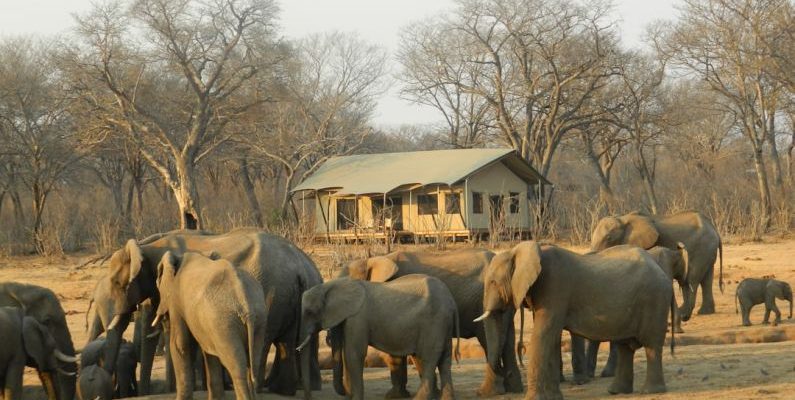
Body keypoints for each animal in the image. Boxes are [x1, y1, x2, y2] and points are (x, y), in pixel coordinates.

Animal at [102, 227, 324, 396]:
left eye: (117, 283)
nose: (141, 392)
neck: (147, 246)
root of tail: (301, 267)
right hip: (287, 296)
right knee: (286, 342)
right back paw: (283, 391)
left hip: (272, 293)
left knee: (266, 343)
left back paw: (265, 389)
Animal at [298, 276, 460, 400]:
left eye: (310, 312)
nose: (309, 397)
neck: (330, 285)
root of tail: (452, 302)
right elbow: (346, 353)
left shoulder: (358, 317)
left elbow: (353, 354)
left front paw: (356, 398)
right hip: (443, 324)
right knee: (444, 360)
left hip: (434, 322)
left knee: (428, 358)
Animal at [338, 248, 524, 396]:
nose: (345, 393)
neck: (374, 259)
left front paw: (397, 396)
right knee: (508, 342)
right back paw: (514, 389)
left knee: (490, 341)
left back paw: (493, 391)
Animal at [476, 242, 676, 398]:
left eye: (493, 282)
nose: (480, 393)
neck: (519, 251)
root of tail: (661, 271)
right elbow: (552, 338)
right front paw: (554, 397)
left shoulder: (554, 287)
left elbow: (544, 334)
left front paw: (536, 399)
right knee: (625, 346)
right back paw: (616, 392)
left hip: (654, 299)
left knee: (651, 345)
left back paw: (650, 391)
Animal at [592, 211, 720, 320]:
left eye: (609, 238)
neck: (623, 218)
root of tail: (713, 228)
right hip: (708, 250)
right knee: (706, 279)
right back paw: (705, 312)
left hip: (701, 248)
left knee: (690, 280)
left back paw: (683, 314)